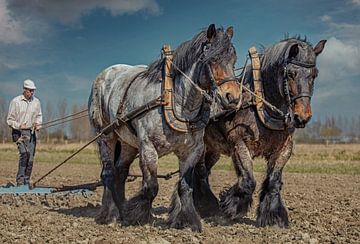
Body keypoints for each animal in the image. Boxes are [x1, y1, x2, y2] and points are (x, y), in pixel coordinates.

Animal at [88, 23, 242, 232]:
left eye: (233, 60)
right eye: (213, 59)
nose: (233, 98)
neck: (177, 103)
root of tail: (104, 74)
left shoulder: (192, 151)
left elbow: (184, 187)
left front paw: (187, 221)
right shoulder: (147, 148)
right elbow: (152, 186)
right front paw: (136, 215)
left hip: (128, 143)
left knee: (120, 172)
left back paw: (119, 209)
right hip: (106, 136)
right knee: (109, 174)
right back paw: (109, 214)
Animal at [194, 37, 326, 228]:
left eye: (314, 74)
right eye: (291, 74)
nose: (302, 117)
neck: (260, 106)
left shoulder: (284, 148)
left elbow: (273, 181)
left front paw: (273, 216)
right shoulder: (239, 143)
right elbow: (248, 181)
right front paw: (230, 208)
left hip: (213, 151)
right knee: (200, 172)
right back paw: (207, 206)